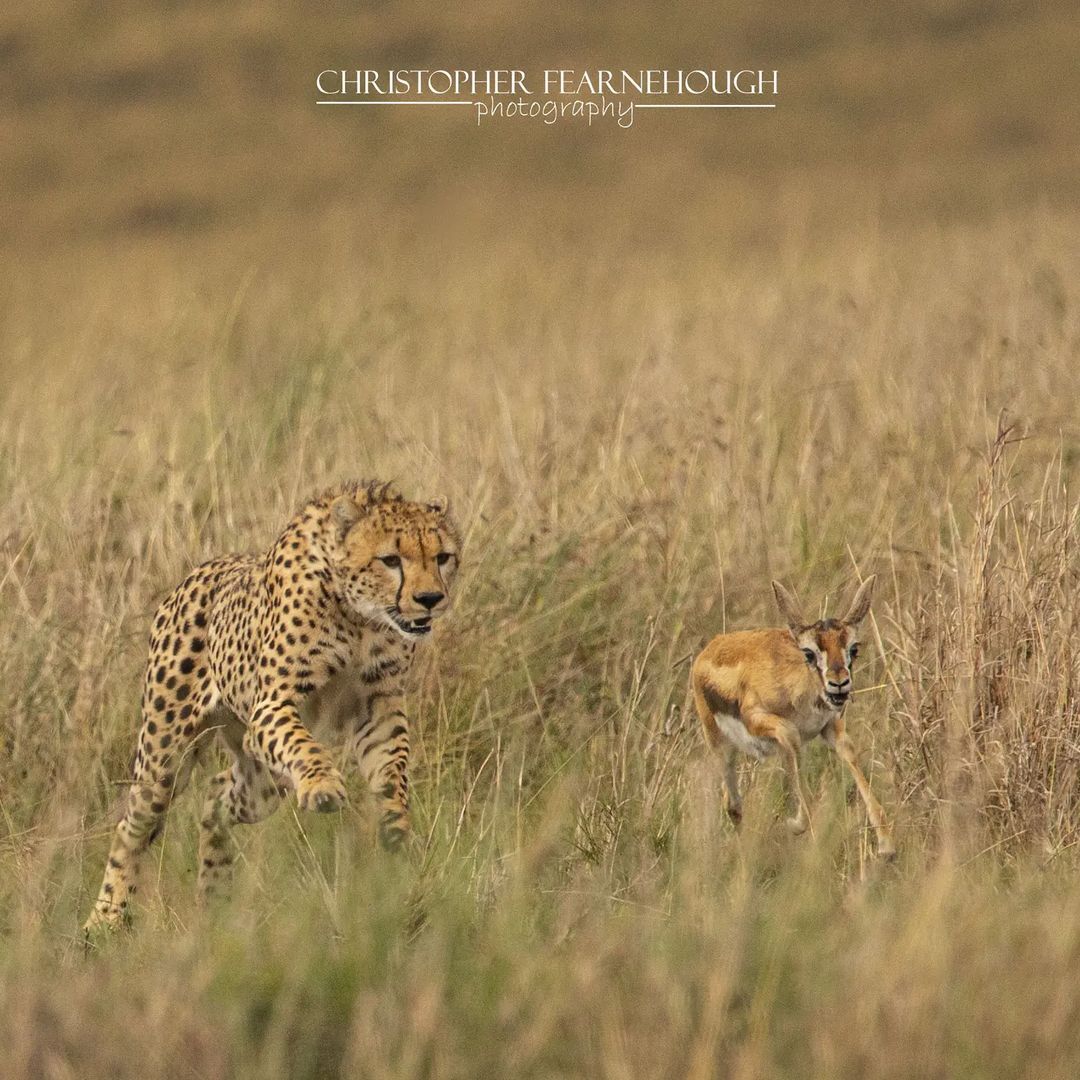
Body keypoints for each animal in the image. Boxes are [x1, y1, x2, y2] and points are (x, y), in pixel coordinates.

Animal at [82, 477, 457, 933]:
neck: (360, 617)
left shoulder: (379, 708)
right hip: (164, 757)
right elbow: (303, 745)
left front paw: (396, 826)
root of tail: (197, 571)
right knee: (133, 825)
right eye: (390, 560)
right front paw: (322, 785)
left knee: (215, 795)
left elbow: (392, 769)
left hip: (261, 782)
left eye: (442, 557)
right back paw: (104, 919)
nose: (430, 598)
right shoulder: (273, 704)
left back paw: (215, 893)